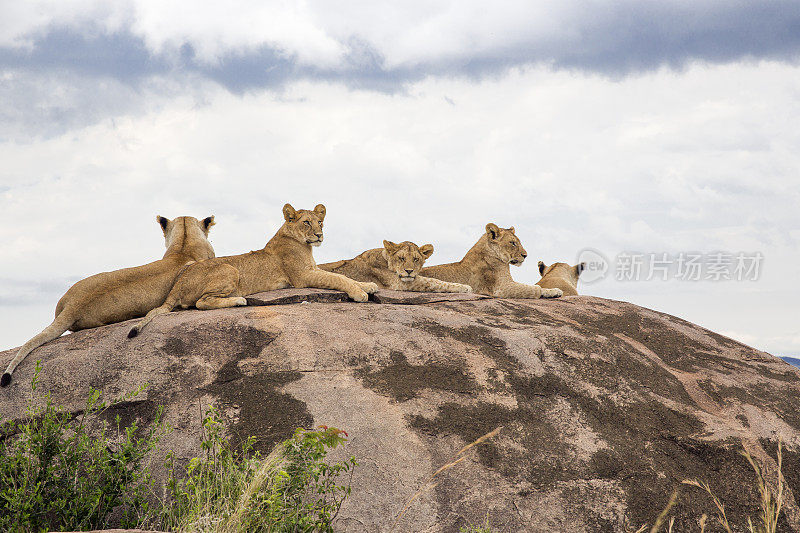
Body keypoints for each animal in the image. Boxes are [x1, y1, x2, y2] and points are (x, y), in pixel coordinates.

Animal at [130, 204, 380, 336]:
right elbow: (338, 278)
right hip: (230, 269)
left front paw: (368, 285)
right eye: (306, 222)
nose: (320, 235)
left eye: (321, 222)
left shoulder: (313, 268)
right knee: (200, 303)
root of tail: (178, 283)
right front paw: (359, 293)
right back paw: (238, 300)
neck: (304, 245)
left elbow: (341, 274)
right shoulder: (303, 276)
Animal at [318, 240, 472, 294]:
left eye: (416, 259)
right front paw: (464, 287)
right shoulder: (398, 282)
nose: (409, 271)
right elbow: (434, 282)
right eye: (401, 258)